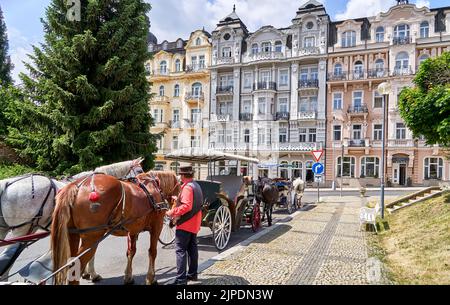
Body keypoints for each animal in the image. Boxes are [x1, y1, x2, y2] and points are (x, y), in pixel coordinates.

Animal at [0, 157, 144, 280]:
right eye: (140, 171)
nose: (142, 187)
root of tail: (6, 183)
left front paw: (85, 272)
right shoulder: (95, 229)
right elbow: (90, 252)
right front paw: (92, 274)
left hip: (5, 230)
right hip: (22, 230)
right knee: (7, 258)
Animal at [50, 170, 179, 284]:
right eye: (179, 188)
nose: (173, 221)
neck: (153, 188)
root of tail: (76, 186)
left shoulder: (133, 229)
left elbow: (131, 252)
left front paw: (128, 276)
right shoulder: (157, 225)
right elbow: (152, 252)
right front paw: (151, 278)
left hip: (73, 235)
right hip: (92, 237)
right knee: (76, 267)